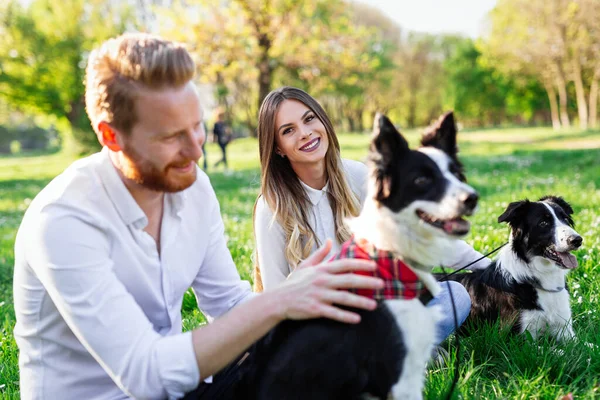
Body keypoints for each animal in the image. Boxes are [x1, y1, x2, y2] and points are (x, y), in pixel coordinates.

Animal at [440, 195, 580, 340]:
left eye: (565, 219)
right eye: (543, 223)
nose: (577, 240)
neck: (542, 274)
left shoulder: (565, 330)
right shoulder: (517, 335)